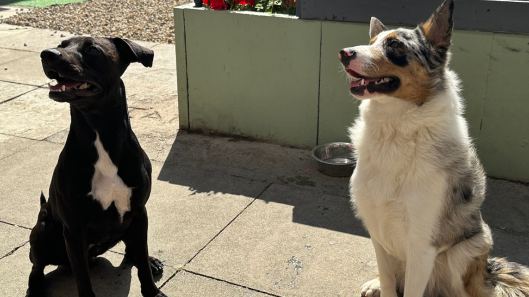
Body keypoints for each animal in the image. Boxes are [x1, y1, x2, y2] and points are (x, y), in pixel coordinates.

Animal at [27, 37, 167, 296]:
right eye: (62, 44)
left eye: (92, 49)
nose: (47, 54)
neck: (100, 132)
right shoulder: (74, 230)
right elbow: (83, 280)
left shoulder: (138, 212)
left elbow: (141, 260)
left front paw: (152, 290)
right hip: (43, 231)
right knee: (36, 267)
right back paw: (35, 288)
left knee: (134, 250)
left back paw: (151, 260)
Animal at [340, 0, 528, 296]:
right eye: (371, 42)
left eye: (394, 45)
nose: (343, 53)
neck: (395, 130)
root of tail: (489, 271)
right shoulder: (378, 234)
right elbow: (389, 281)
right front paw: (381, 283)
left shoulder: (422, 247)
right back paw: (375, 283)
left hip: (469, 248)